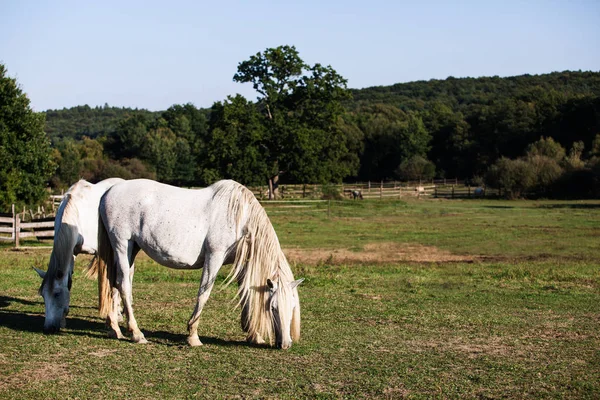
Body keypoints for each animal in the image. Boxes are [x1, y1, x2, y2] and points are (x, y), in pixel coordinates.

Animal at [33, 179, 125, 334]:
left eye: (57, 294)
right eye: (43, 295)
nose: (48, 328)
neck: (75, 213)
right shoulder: (72, 253)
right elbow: (69, 281)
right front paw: (63, 321)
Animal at [95, 180, 302, 348]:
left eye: (292, 306)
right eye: (273, 307)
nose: (285, 344)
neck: (240, 218)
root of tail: (109, 191)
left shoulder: (243, 263)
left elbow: (247, 296)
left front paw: (254, 335)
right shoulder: (214, 257)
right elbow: (204, 293)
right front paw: (193, 336)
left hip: (131, 249)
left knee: (115, 283)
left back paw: (115, 329)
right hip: (123, 245)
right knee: (124, 284)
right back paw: (137, 334)